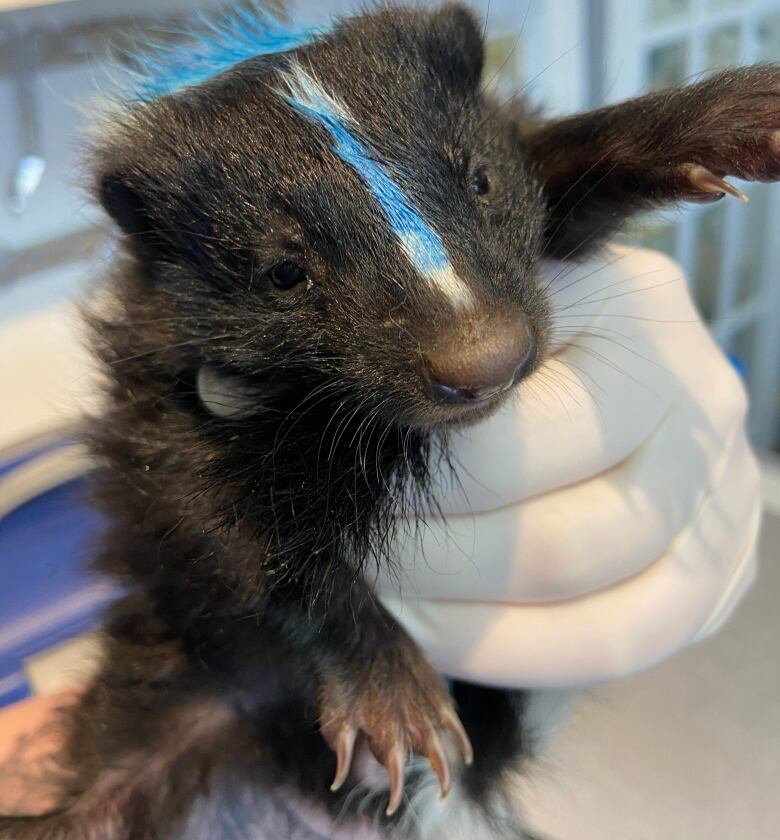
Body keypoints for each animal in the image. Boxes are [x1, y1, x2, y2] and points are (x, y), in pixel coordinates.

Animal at [3, 1, 776, 840]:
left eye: (480, 179)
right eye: (285, 273)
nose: (486, 357)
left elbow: (561, 162)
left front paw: (731, 117)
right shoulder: (163, 388)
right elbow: (206, 516)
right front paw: (388, 686)